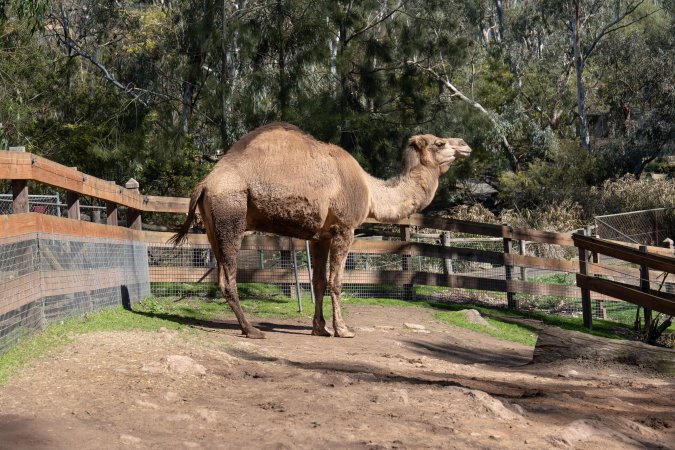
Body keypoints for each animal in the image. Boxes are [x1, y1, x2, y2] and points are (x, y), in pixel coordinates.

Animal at [171, 122, 471, 339]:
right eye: (440, 142)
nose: (465, 144)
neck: (370, 190)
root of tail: (204, 184)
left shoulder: (320, 236)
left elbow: (318, 281)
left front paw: (320, 328)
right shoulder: (344, 228)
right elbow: (336, 282)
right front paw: (343, 330)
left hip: (213, 226)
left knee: (221, 273)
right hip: (230, 214)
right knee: (229, 277)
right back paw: (252, 330)